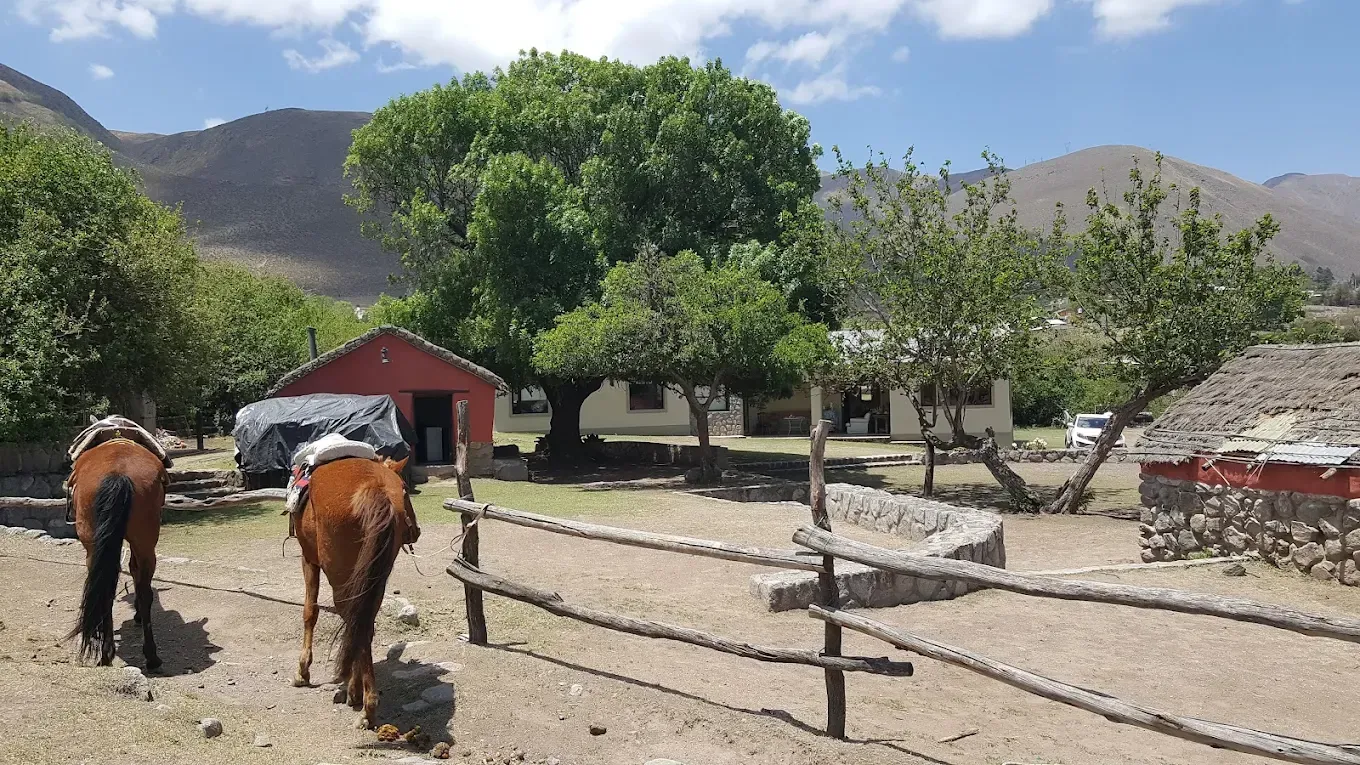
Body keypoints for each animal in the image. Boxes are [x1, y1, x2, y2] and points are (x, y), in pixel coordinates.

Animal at [292, 455, 419, 729]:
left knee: (353, 623)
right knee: (364, 625)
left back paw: (363, 703)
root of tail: (374, 487)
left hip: (342, 578)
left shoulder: (309, 559)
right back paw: (361, 695)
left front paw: (303, 671)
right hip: (374, 578)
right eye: (405, 489)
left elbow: (310, 612)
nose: (416, 530)